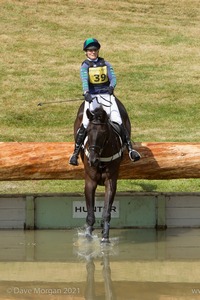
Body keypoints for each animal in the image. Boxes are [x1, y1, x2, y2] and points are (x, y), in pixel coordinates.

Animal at [73, 97, 131, 243]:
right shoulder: (90, 182)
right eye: (87, 132)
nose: (92, 160)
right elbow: (90, 213)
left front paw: (105, 237)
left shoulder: (110, 181)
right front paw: (88, 236)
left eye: (103, 133)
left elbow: (106, 212)